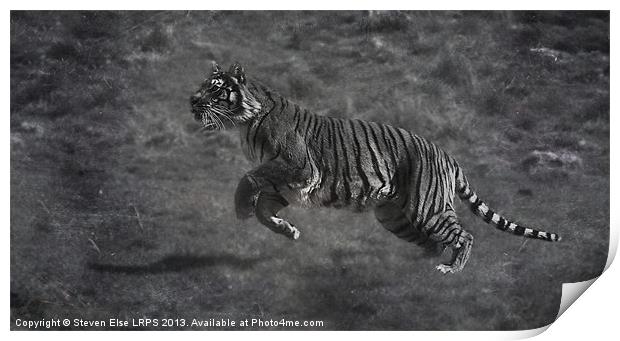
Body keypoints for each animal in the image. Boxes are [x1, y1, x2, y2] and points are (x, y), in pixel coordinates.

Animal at [186, 61, 560, 274]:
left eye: (214, 88)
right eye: (202, 84)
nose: (191, 99)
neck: (244, 122)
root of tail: (446, 154)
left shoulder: (297, 167)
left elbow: (249, 178)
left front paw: (241, 209)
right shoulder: (287, 183)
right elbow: (266, 209)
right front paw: (287, 230)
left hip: (427, 209)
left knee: (463, 235)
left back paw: (450, 270)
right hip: (393, 215)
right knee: (432, 242)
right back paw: (416, 269)